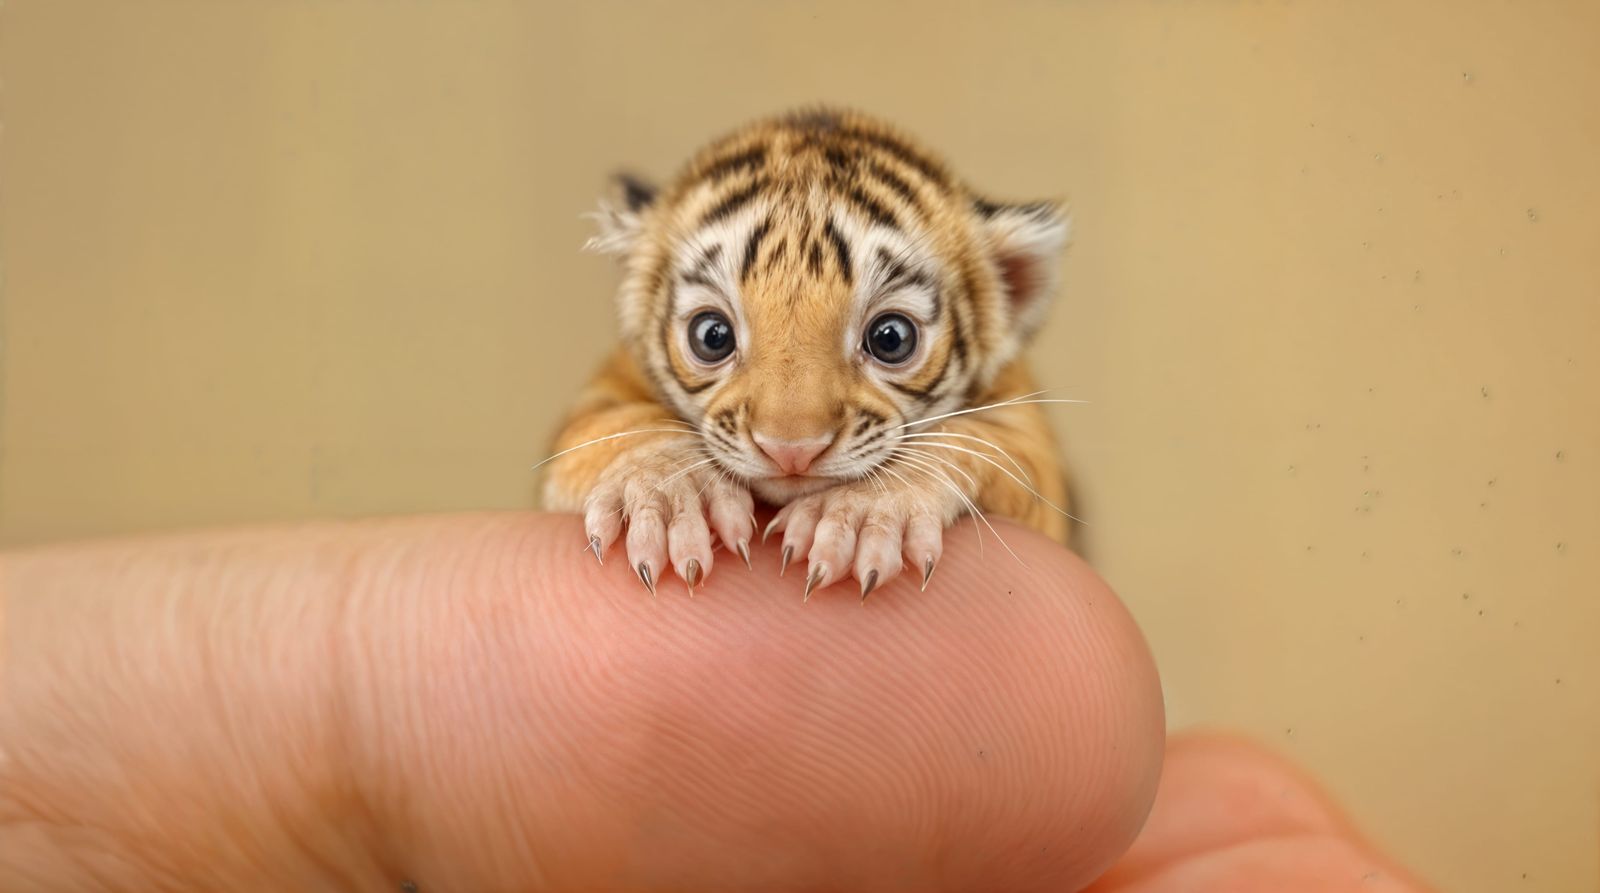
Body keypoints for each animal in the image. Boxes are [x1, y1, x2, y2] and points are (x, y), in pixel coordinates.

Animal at [540, 107, 1074, 600]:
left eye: (891, 339)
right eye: (712, 336)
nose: (790, 450)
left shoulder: (1037, 459)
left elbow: (977, 438)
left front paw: (863, 512)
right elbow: (615, 423)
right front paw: (670, 491)